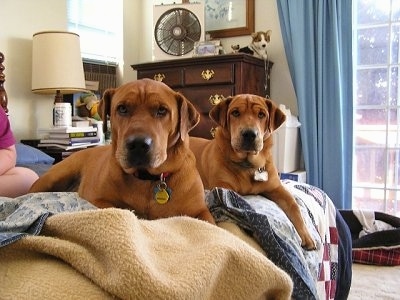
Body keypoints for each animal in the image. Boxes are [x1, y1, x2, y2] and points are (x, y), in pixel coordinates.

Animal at [30, 78, 216, 224]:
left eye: (162, 110)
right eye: (122, 108)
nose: (139, 144)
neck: (148, 180)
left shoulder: (200, 211)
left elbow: (211, 225)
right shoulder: (99, 199)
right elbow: (122, 209)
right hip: (54, 177)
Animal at [190, 95, 316, 250]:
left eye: (261, 114)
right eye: (235, 112)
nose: (249, 134)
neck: (248, 164)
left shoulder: (276, 188)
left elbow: (294, 206)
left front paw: (306, 235)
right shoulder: (223, 188)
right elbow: (238, 206)